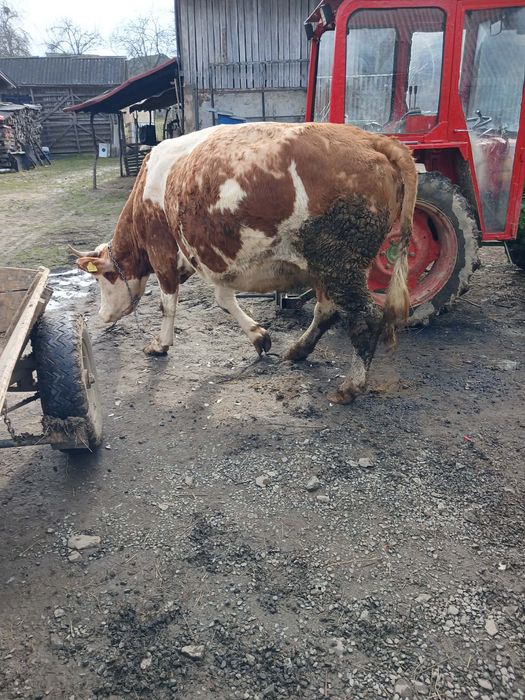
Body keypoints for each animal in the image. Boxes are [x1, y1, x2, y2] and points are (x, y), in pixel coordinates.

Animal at [72, 122, 417, 404]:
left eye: (103, 278)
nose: (101, 316)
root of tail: (373, 140)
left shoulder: (162, 250)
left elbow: (167, 304)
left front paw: (160, 344)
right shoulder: (217, 263)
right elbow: (224, 299)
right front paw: (260, 337)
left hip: (341, 261)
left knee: (366, 317)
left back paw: (350, 386)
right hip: (328, 263)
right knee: (327, 309)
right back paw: (299, 349)